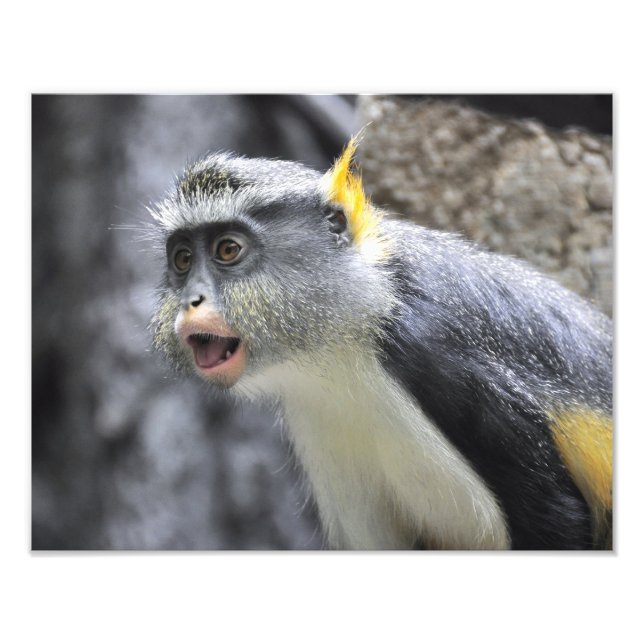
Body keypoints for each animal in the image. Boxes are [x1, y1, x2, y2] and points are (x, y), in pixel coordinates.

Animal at [149, 137, 612, 550]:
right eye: (183, 260)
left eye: (228, 249)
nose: (192, 300)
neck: (352, 334)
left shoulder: (439, 354)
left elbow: (554, 516)